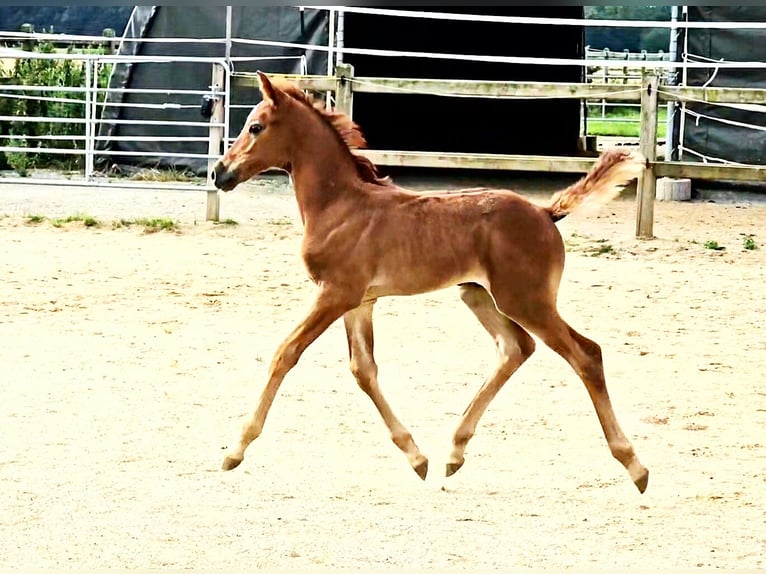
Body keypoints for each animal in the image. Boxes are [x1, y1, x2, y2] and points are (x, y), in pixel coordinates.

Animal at [213, 72, 652, 496]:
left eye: (255, 126)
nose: (219, 173)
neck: (340, 205)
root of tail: (546, 212)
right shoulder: (360, 302)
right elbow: (363, 370)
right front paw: (416, 458)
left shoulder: (335, 294)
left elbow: (285, 354)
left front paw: (234, 450)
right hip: (478, 294)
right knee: (516, 348)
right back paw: (454, 453)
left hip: (526, 301)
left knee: (586, 354)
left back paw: (635, 465)